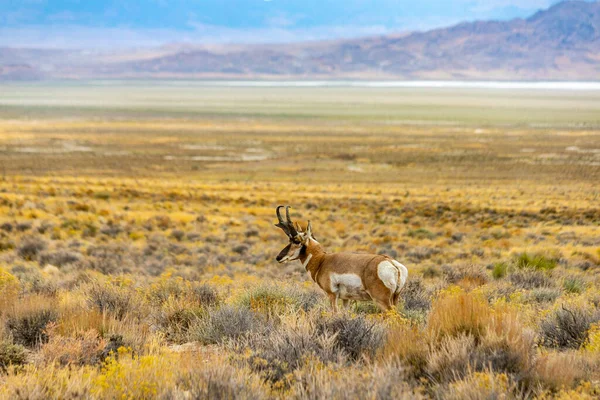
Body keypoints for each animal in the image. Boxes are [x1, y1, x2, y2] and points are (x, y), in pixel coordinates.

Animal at [276, 206, 408, 312]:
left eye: (296, 241)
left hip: (382, 301)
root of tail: (392, 264)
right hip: (395, 299)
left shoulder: (332, 295)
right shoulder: (346, 299)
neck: (322, 261)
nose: (278, 257)